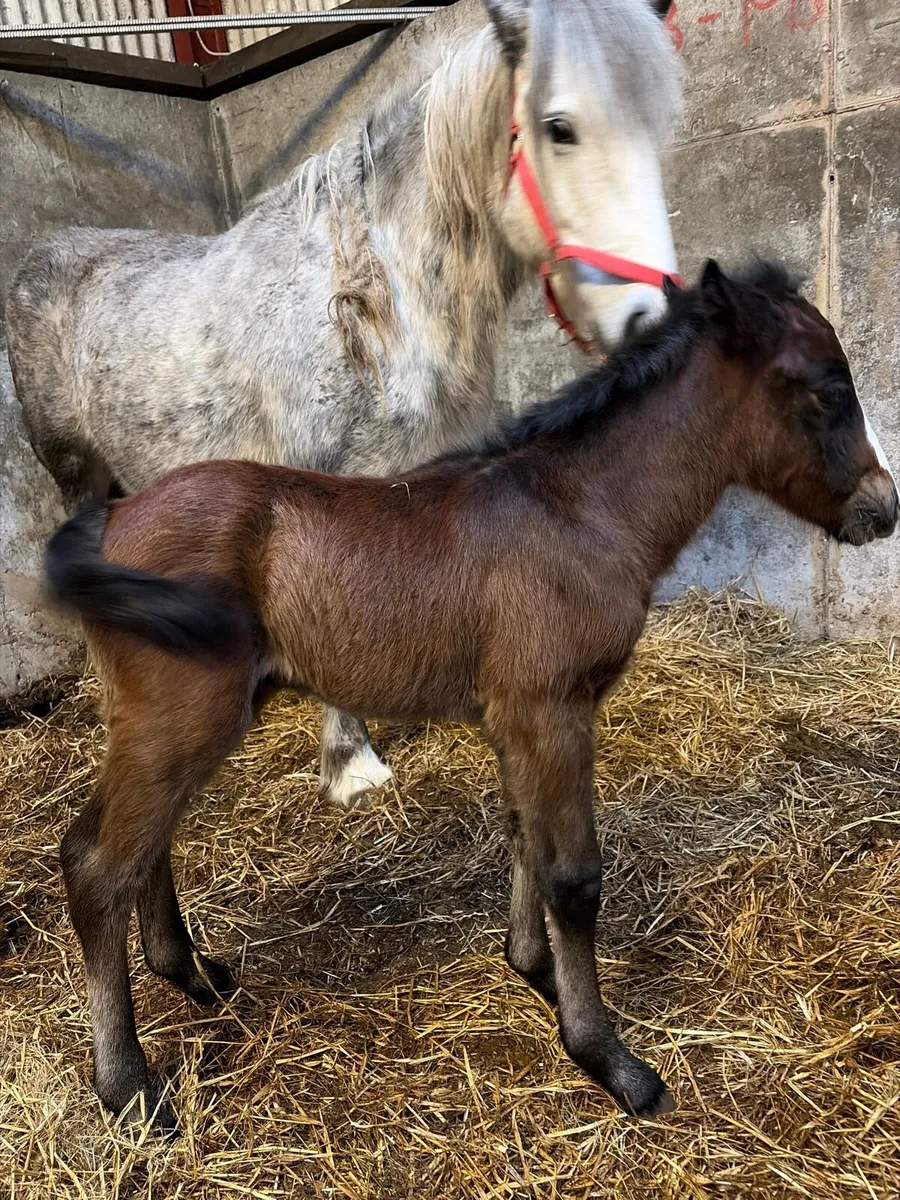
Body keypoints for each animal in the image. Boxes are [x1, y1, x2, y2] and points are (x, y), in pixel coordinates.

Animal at [7, 0, 682, 810]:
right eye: (560, 127)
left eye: (661, 124)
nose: (649, 318)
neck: (377, 297)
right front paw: (351, 765)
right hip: (71, 469)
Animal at [45, 259, 898, 1131]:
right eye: (828, 390)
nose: (882, 508)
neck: (581, 509)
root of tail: (114, 513)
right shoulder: (550, 710)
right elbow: (574, 877)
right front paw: (608, 1058)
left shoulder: (520, 718)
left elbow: (525, 837)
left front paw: (534, 971)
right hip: (181, 715)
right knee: (97, 865)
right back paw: (126, 1085)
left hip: (180, 719)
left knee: (142, 845)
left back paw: (190, 973)